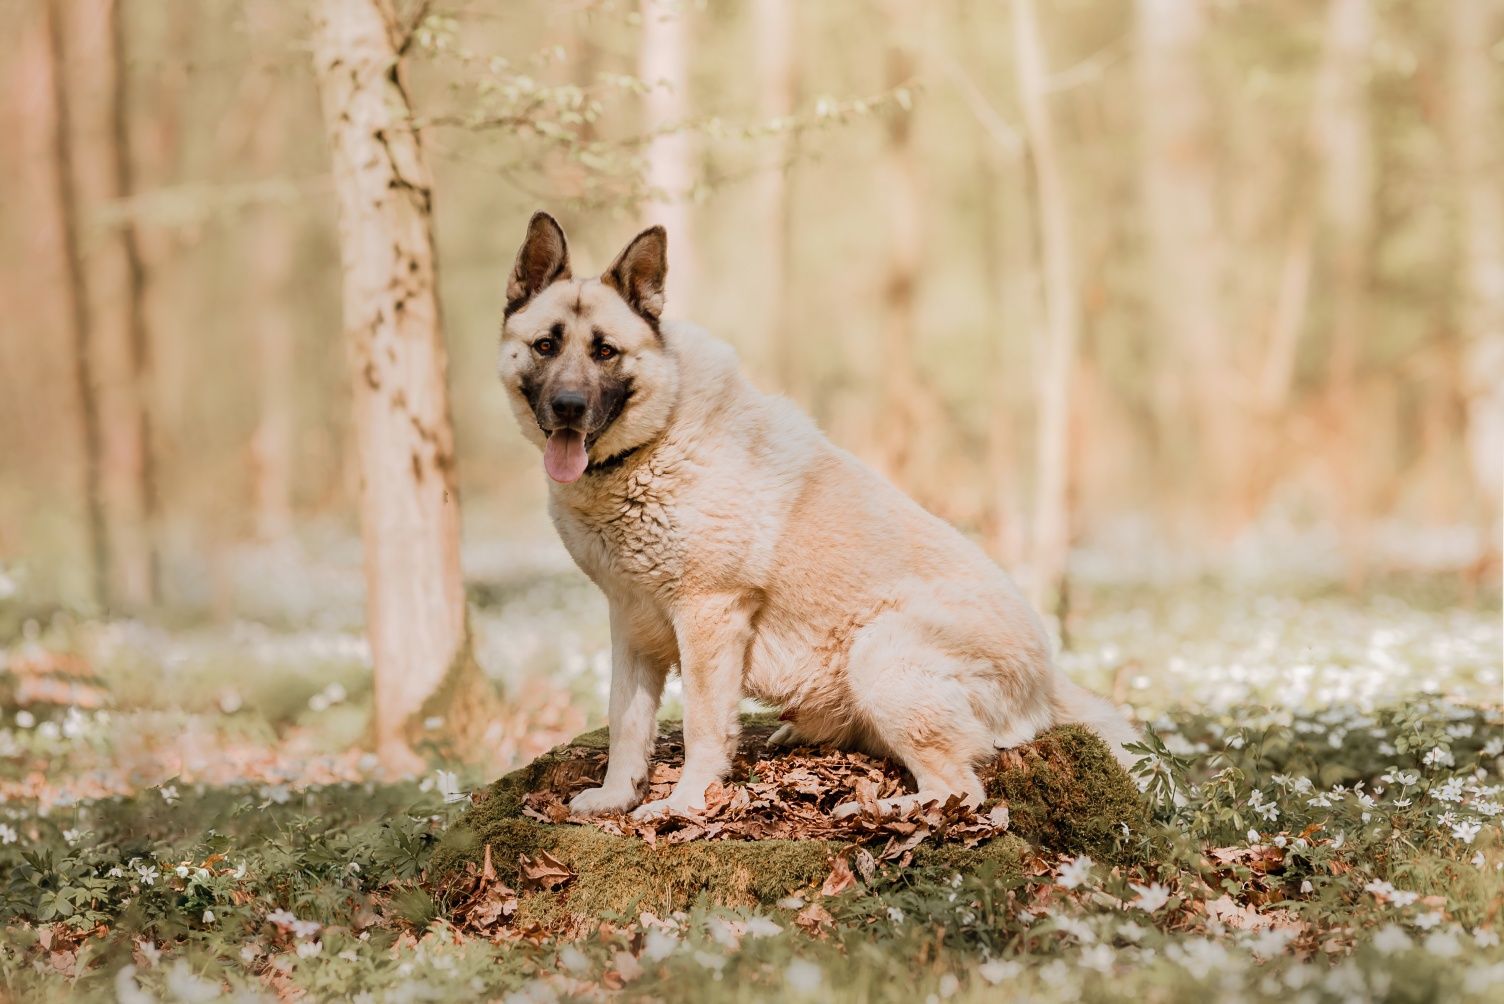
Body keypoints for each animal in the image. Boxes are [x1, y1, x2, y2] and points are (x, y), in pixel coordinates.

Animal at [499, 211, 1131, 817]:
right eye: (546, 345)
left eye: (604, 351)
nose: (568, 408)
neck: (655, 439)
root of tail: (1049, 678)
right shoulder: (631, 622)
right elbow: (625, 723)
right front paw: (616, 796)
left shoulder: (708, 616)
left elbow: (704, 724)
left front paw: (686, 803)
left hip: (881, 654)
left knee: (960, 790)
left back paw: (879, 810)